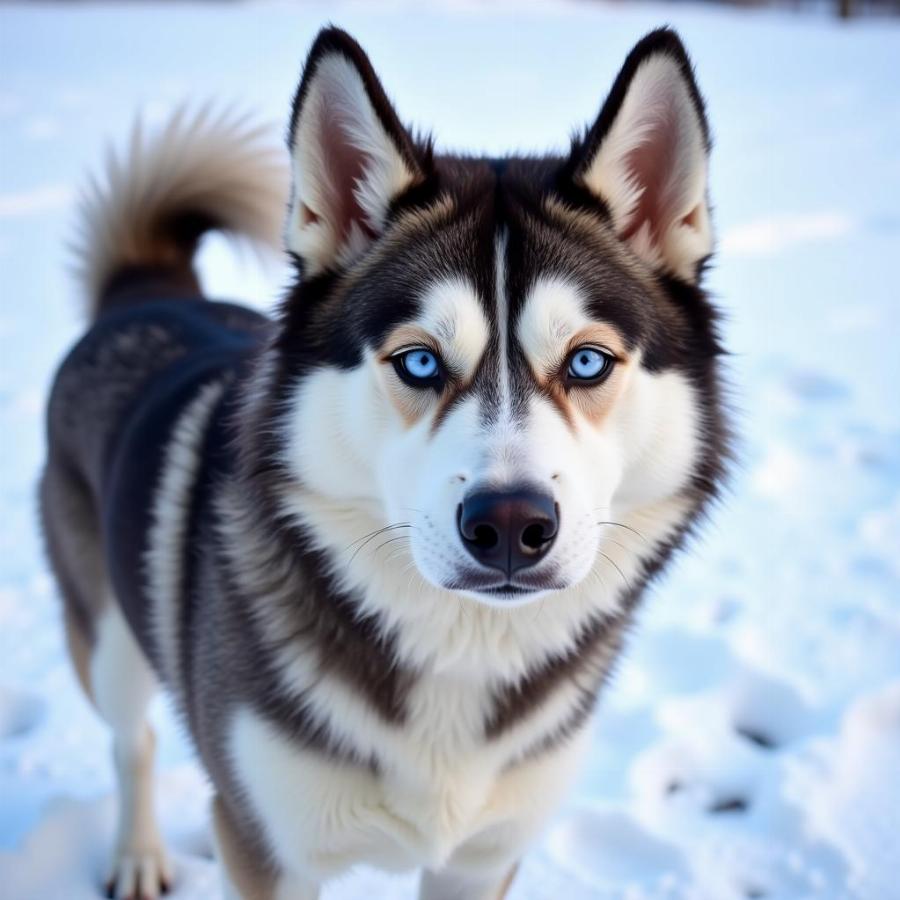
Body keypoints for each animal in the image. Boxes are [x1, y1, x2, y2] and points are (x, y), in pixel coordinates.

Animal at [40, 24, 732, 900]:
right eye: (420, 362)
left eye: (585, 363)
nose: (511, 524)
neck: (460, 653)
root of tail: (146, 291)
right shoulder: (265, 846)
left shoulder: (482, 859)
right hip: (107, 643)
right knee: (131, 740)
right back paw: (137, 854)